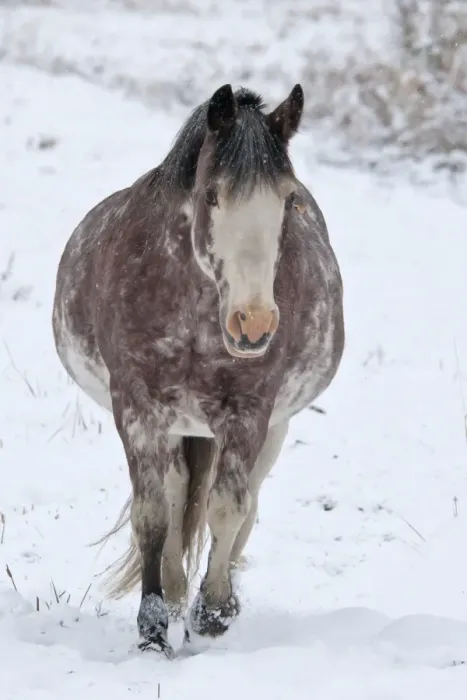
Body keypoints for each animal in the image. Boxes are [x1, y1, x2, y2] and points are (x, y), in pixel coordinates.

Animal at [52, 83, 345, 658]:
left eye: (288, 200)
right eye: (212, 195)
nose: (254, 324)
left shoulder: (250, 413)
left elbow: (228, 508)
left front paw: (212, 611)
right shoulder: (138, 408)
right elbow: (153, 515)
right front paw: (153, 627)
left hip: (272, 430)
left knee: (244, 504)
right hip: (175, 429)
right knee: (174, 498)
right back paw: (172, 595)